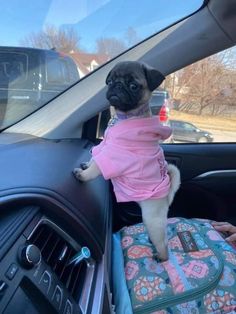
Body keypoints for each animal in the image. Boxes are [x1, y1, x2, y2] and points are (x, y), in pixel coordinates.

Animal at [74, 60, 181, 262]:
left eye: (133, 86)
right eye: (110, 82)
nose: (116, 86)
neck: (125, 117)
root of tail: (166, 196)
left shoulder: (113, 155)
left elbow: (95, 168)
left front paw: (82, 175)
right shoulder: (105, 145)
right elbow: (94, 157)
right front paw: (85, 164)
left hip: (152, 220)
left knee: (163, 243)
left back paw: (161, 258)